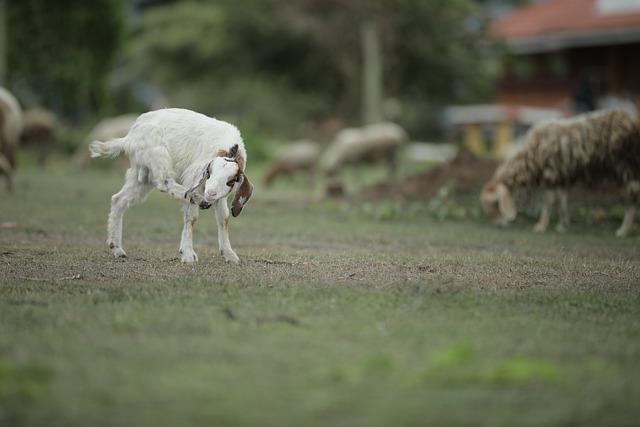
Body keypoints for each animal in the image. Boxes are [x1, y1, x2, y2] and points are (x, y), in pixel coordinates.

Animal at [89, 108, 254, 262]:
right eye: (209, 171)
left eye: (231, 180)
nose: (210, 194)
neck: (229, 150)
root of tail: (131, 136)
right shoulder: (193, 177)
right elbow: (191, 216)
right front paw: (188, 254)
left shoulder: (220, 195)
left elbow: (224, 218)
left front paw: (230, 255)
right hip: (158, 155)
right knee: (165, 182)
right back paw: (197, 199)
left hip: (142, 175)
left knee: (119, 200)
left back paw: (117, 249)